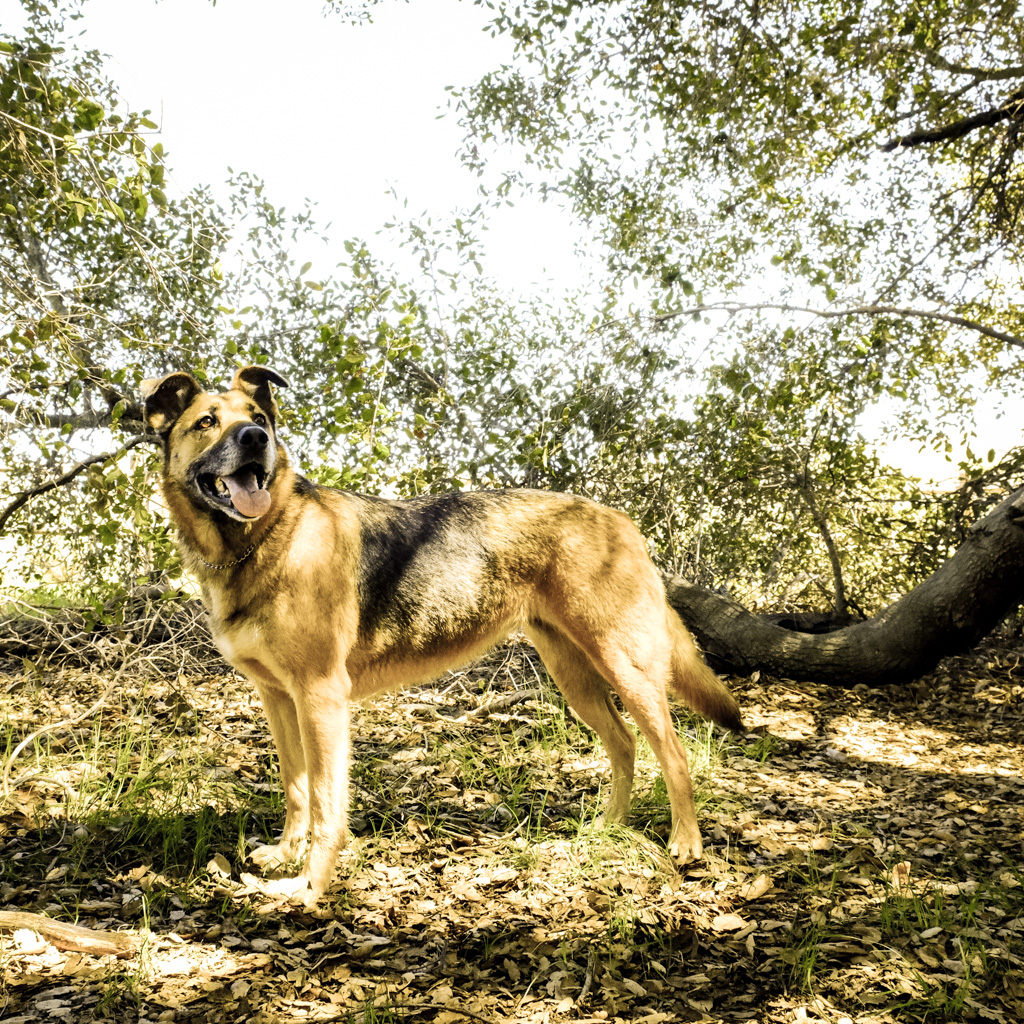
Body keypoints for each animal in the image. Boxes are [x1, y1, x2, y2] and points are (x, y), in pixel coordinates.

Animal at [142, 366, 742, 905]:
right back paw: (607, 826)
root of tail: (620, 519)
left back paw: (686, 843)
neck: (264, 539)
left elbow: (325, 805)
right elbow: (296, 789)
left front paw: (308, 887)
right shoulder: (278, 699)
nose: (256, 438)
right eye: (207, 421)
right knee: (624, 743)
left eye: (259, 417)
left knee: (673, 752)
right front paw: (287, 854)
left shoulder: (320, 698)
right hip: (575, 675)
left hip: (625, 665)